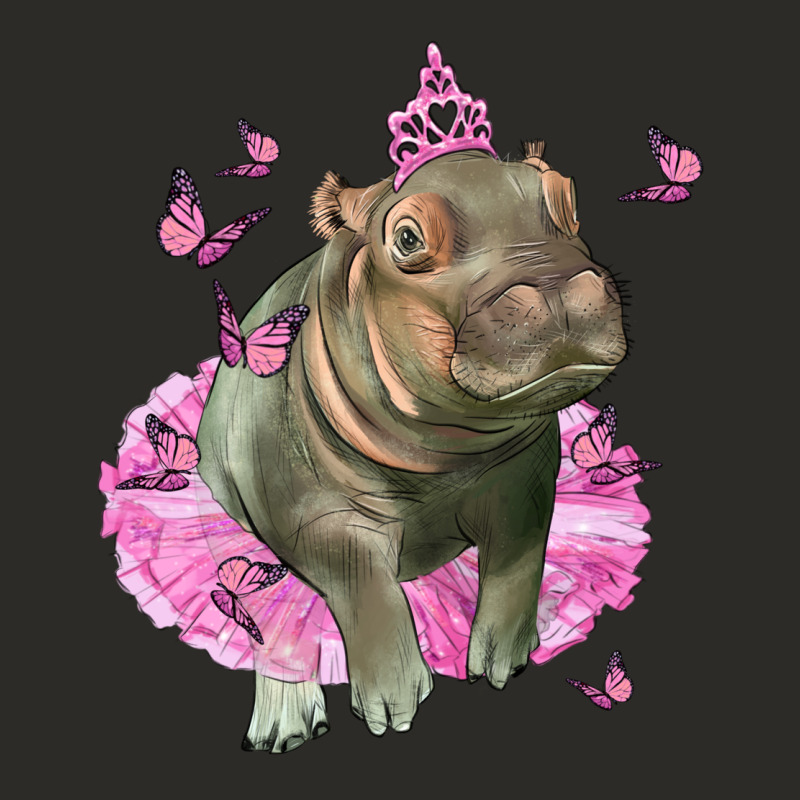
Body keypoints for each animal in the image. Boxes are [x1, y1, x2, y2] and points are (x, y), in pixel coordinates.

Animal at [196, 136, 628, 750]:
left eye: (568, 199)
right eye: (406, 238)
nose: (553, 285)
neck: (442, 453)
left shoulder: (526, 478)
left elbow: (519, 556)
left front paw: (499, 664)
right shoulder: (309, 512)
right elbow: (363, 583)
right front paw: (393, 707)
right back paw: (287, 730)